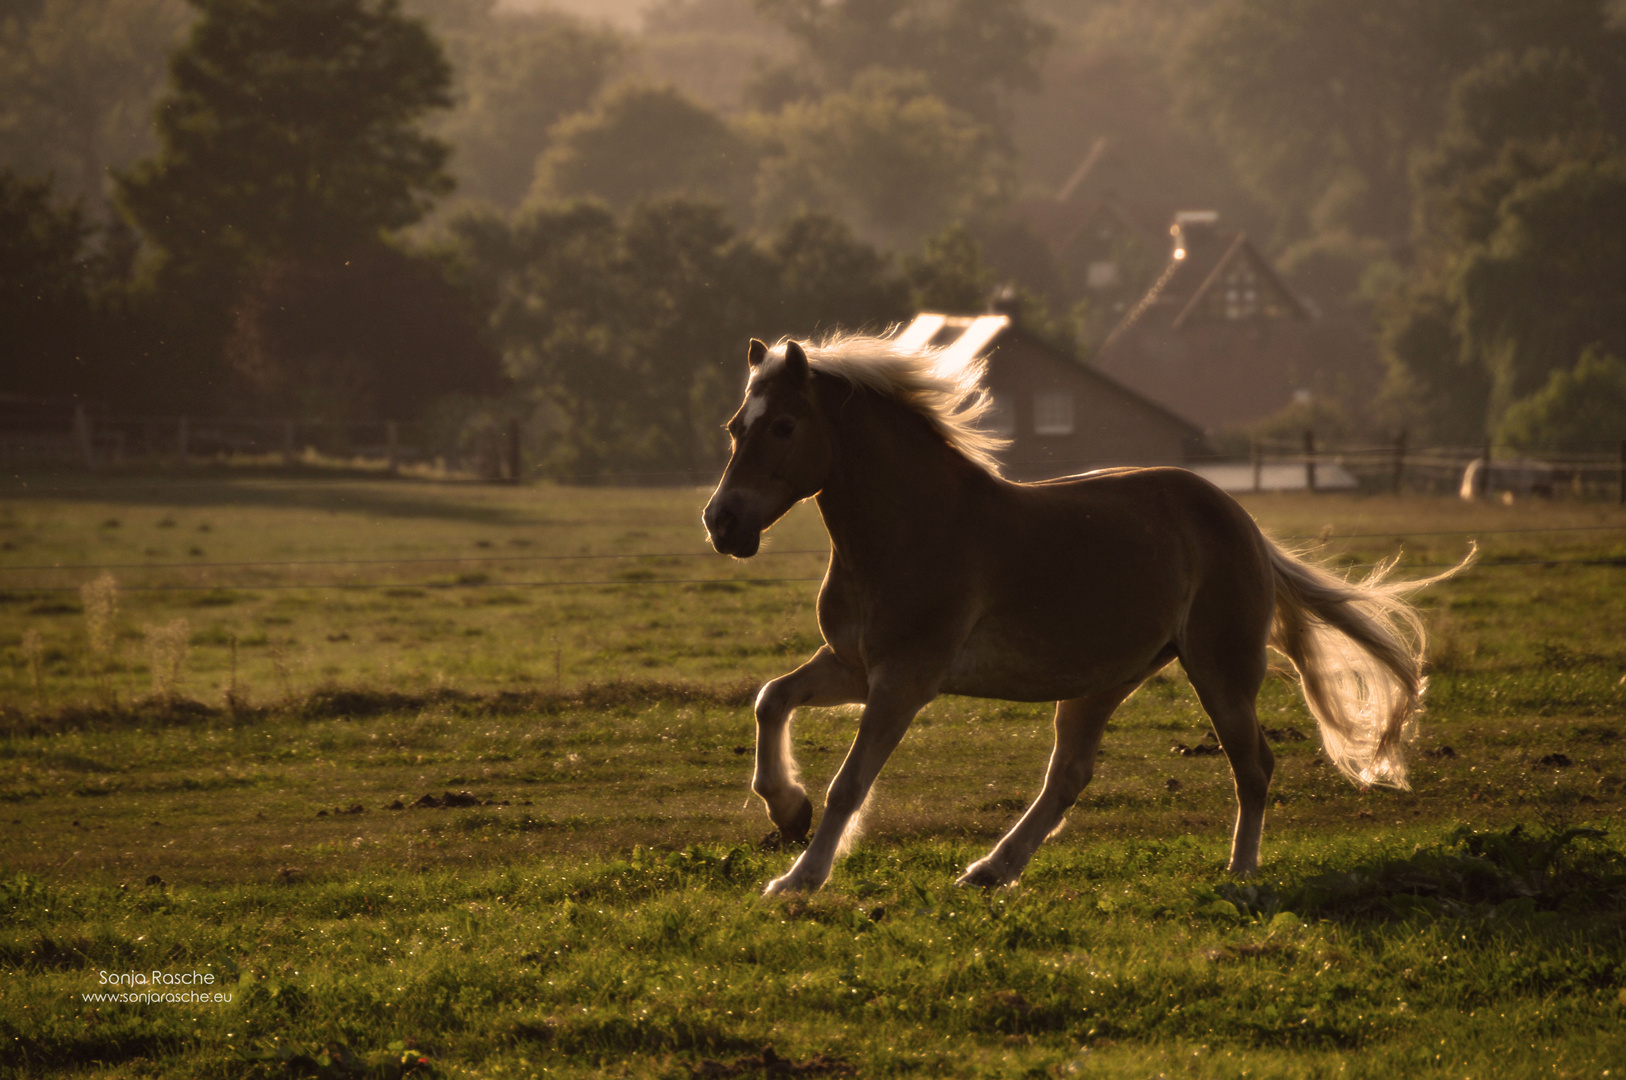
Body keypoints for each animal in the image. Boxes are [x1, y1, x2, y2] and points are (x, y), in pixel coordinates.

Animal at [705, 335, 1469, 891]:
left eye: (783, 425)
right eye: (736, 427)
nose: (723, 522)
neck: (912, 528)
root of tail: (1242, 525)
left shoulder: (904, 680)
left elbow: (850, 784)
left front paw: (797, 880)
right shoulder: (856, 666)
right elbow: (771, 699)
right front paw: (786, 809)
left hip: (1220, 671)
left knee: (1254, 766)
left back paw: (1240, 873)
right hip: (1102, 682)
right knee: (1069, 777)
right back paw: (991, 870)